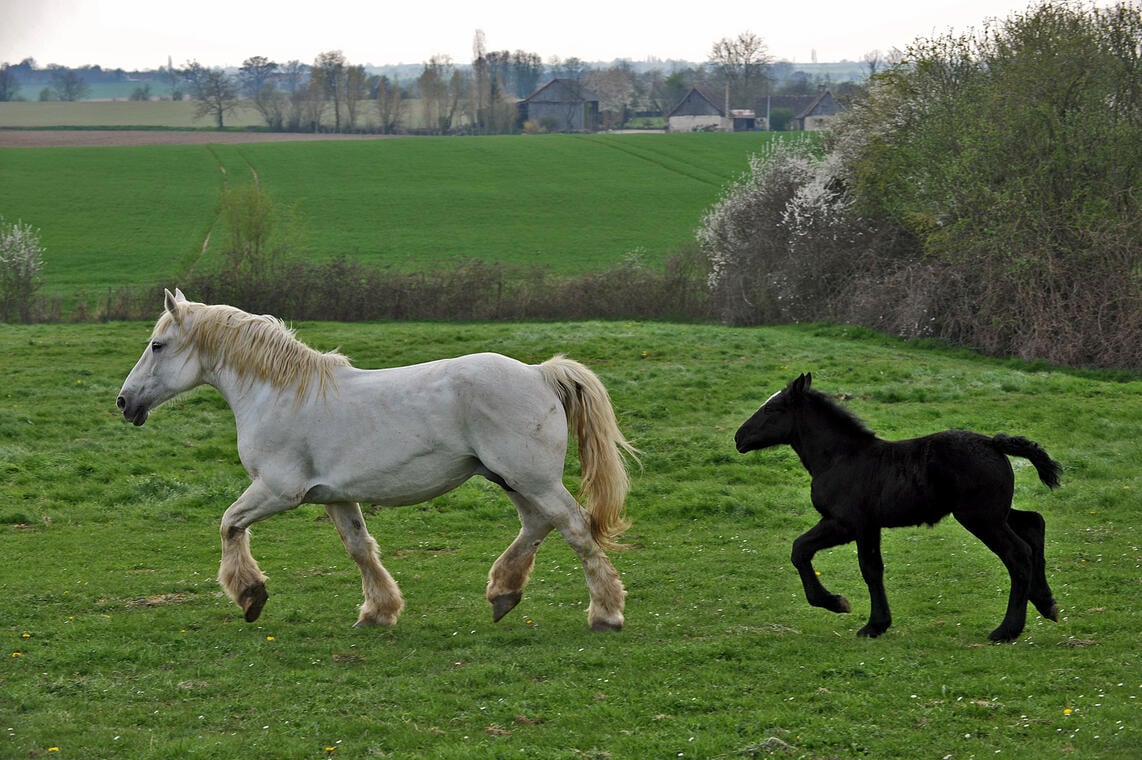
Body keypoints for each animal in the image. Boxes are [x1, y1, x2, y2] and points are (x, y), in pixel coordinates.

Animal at [119, 289, 639, 626]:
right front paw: (379, 611)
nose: (125, 403)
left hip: (532, 479)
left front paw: (251, 596)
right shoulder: (334, 496)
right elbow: (359, 548)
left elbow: (229, 524)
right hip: (509, 478)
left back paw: (606, 612)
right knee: (537, 525)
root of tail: (539, 373)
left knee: (575, 528)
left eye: (157, 345)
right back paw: (503, 593)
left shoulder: (277, 491)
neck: (279, 395)